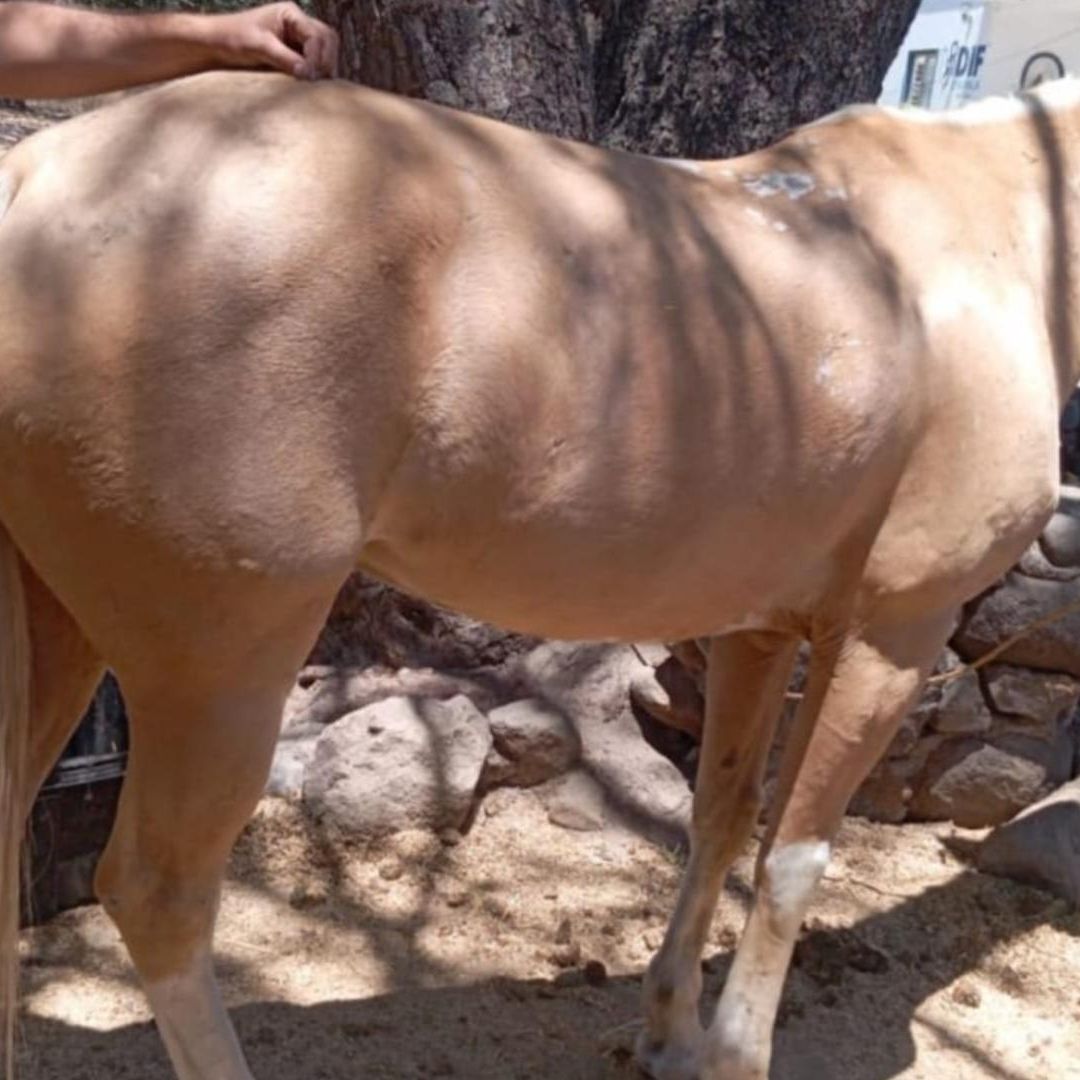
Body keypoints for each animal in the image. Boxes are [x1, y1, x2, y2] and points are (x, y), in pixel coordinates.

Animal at [0, 70, 1074, 1079]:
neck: (985, 238)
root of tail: (33, 178)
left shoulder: (760, 631)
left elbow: (723, 819)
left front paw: (671, 1035)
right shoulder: (897, 632)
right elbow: (795, 857)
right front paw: (732, 1054)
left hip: (64, 636)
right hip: (220, 669)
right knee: (159, 896)